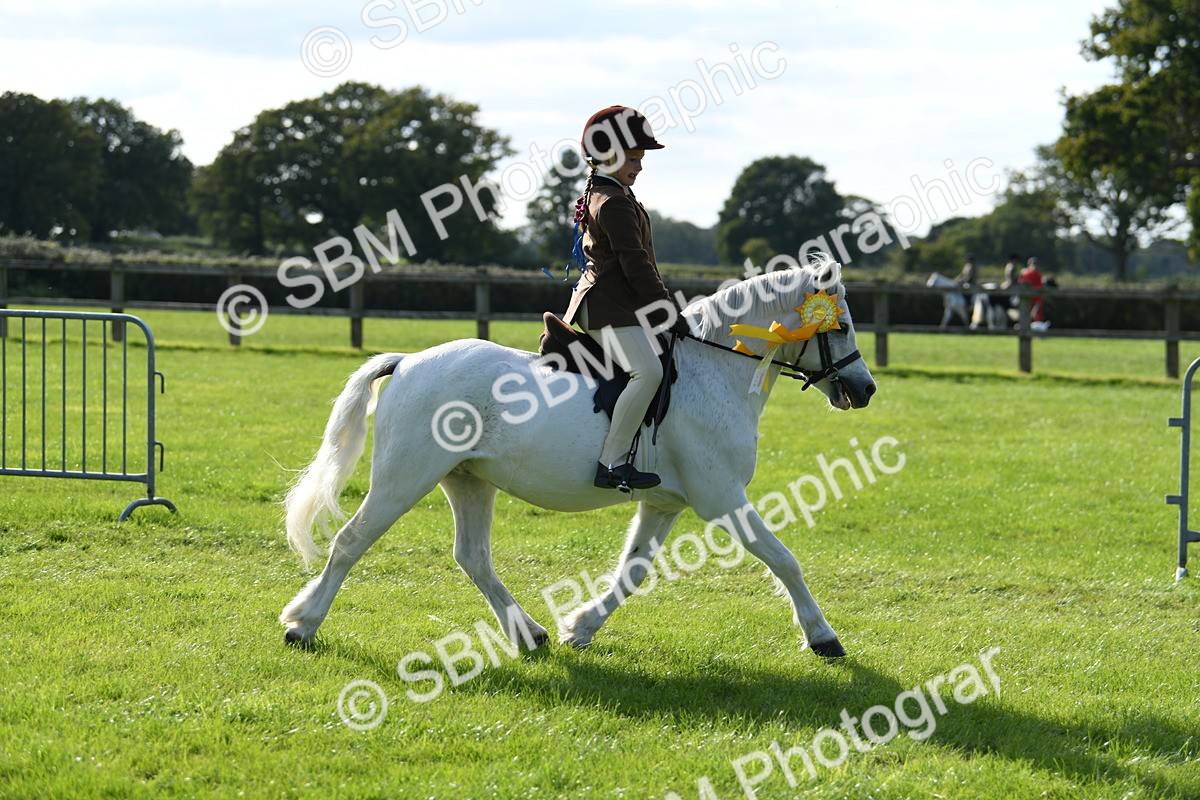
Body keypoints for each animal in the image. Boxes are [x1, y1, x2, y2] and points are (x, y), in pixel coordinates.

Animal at [279, 258, 877, 659]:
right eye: (844, 325)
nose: (865, 390)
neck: (714, 370)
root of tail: (406, 362)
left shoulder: (665, 503)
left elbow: (633, 571)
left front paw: (580, 627)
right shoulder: (722, 499)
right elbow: (784, 560)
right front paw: (824, 637)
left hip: (467, 479)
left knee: (472, 556)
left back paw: (530, 634)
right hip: (405, 478)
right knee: (351, 541)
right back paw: (302, 625)